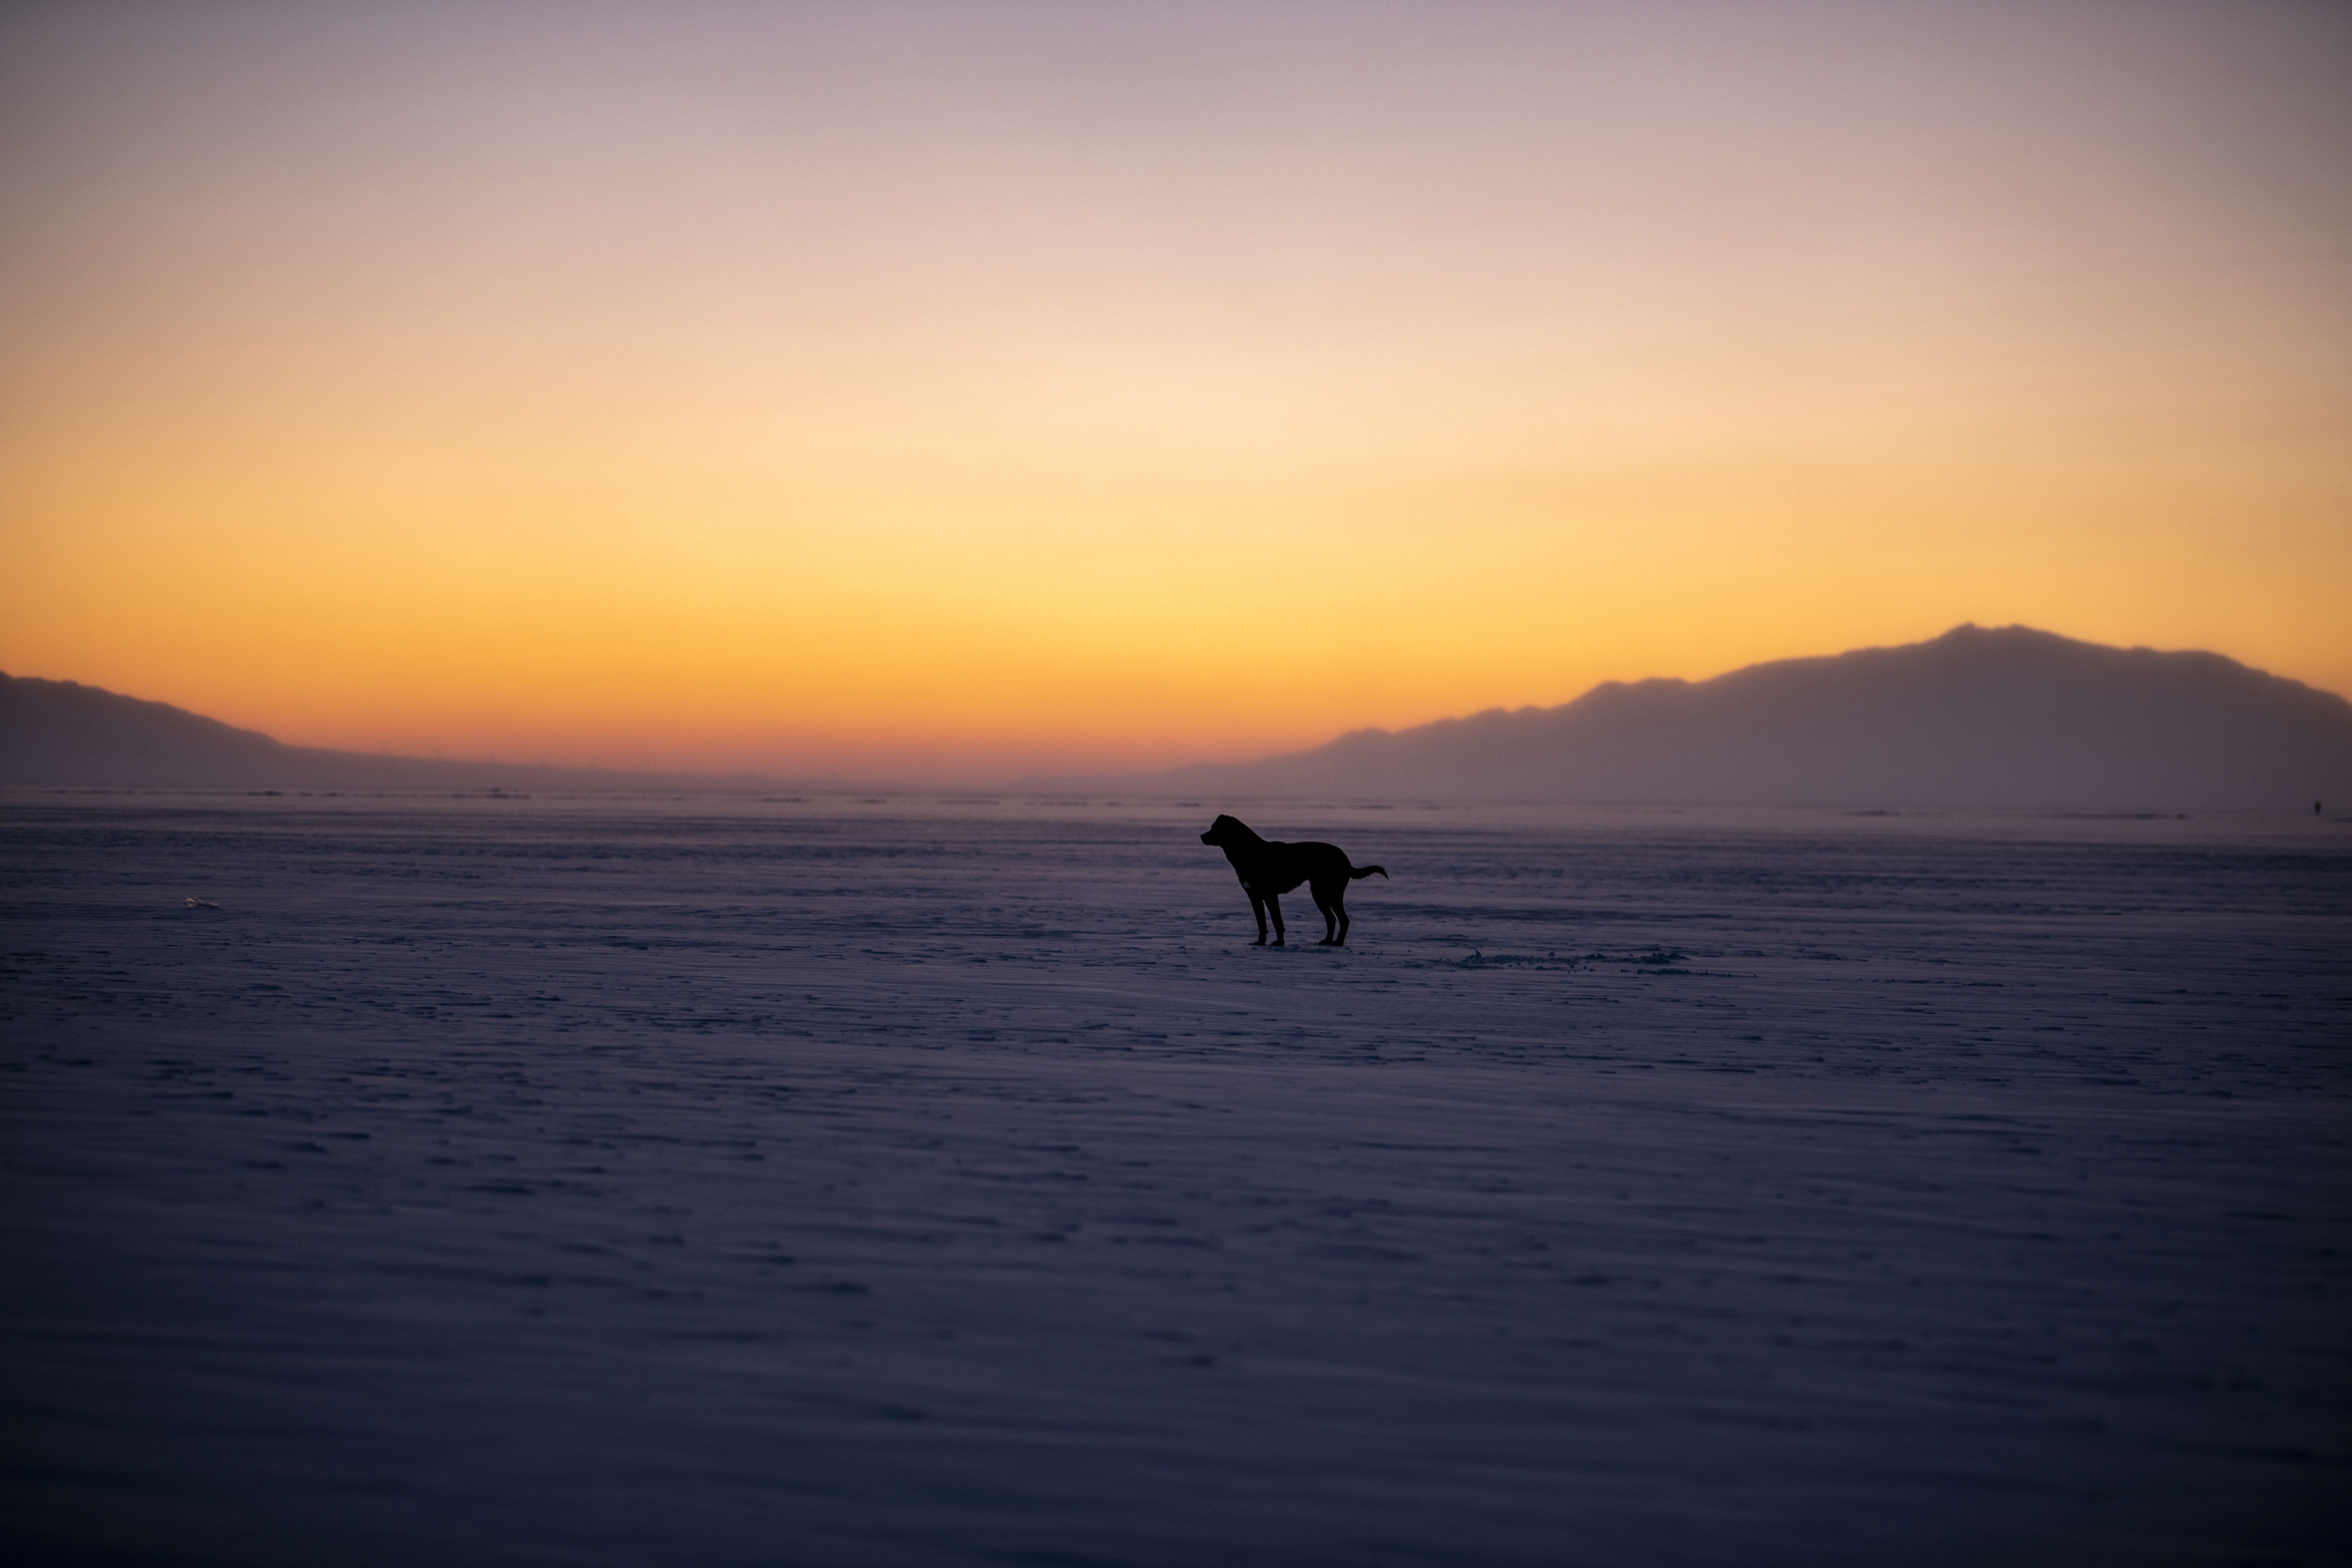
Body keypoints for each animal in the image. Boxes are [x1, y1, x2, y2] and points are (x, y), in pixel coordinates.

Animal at [1204, 818, 1383, 950]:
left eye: (1215, 828)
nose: (1201, 836)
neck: (1249, 852)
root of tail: (1346, 859)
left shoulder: (1270, 894)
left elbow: (1277, 920)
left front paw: (1279, 942)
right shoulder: (1254, 896)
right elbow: (1261, 922)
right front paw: (1261, 942)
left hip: (1330, 893)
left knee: (1343, 920)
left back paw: (1338, 943)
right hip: (1319, 894)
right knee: (1332, 919)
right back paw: (1327, 941)